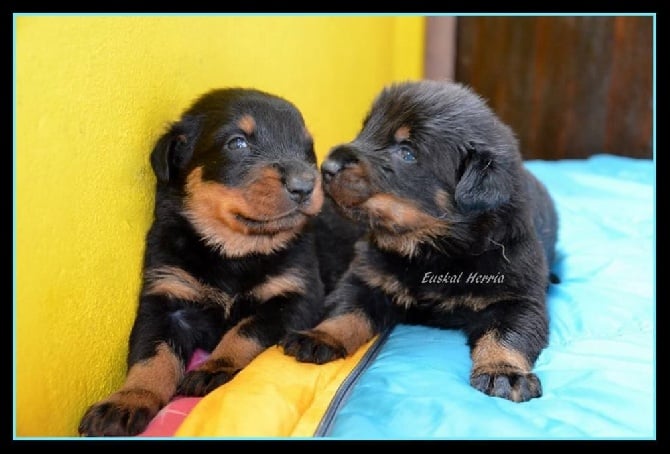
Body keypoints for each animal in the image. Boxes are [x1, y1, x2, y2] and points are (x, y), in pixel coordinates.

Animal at [79, 88, 330, 436]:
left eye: (308, 150)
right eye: (237, 143)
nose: (306, 185)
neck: (233, 250)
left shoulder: (296, 298)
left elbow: (245, 331)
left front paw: (214, 367)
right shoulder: (166, 297)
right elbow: (152, 355)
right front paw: (128, 400)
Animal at [284, 80, 560, 402]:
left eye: (407, 153)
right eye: (366, 129)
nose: (327, 166)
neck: (434, 250)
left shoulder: (518, 300)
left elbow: (507, 336)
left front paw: (503, 372)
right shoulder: (367, 279)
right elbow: (346, 310)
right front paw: (321, 335)